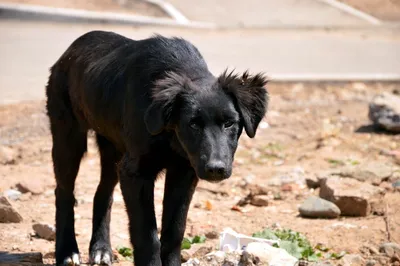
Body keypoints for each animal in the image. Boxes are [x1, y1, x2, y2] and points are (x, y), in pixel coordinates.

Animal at [45, 30, 268, 264]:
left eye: (229, 123)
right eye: (193, 124)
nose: (216, 169)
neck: (169, 133)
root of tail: (69, 51)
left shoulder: (184, 172)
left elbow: (174, 232)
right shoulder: (135, 173)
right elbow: (147, 235)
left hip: (114, 150)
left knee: (103, 193)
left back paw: (101, 249)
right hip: (68, 139)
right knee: (64, 193)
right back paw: (67, 251)